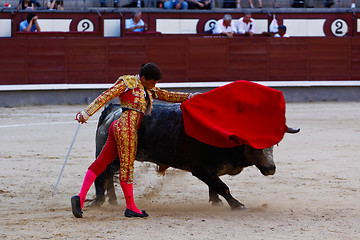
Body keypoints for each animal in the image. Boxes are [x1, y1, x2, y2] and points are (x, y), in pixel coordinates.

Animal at [92, 103, 298, 208]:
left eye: (274, 144)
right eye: (252, 145)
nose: (271, 169)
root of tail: (113, 111)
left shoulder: (211, 171)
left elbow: (214, 187)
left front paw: (215, 203)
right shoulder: (201, 170)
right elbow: (223, 187)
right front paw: (236, 205)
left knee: (108, 175)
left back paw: (113, 201)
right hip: (115, 156)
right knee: (103, 173)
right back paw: (103, 201)